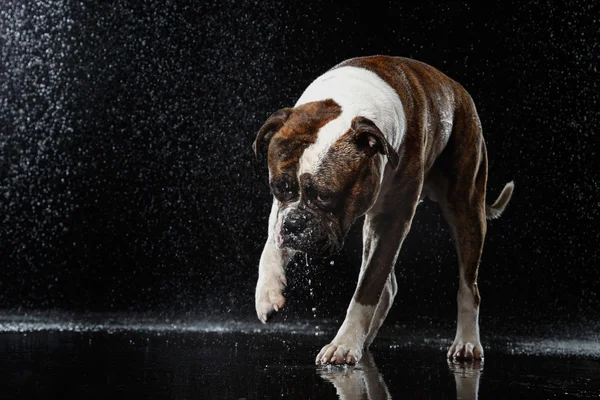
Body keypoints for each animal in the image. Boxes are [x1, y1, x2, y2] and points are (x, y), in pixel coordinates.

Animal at [251, 56, 512, 366]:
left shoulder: (392, 223)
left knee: (467, 286)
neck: (348, 104)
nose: (295, 224)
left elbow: (367, 289)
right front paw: (268, 292)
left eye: (325, 197)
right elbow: (271, 247)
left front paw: (345, 343)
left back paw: (467, 342)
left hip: (466, 209)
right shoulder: (281, 213)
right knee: (388, 288)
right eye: (280, 188)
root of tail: (457, 89)